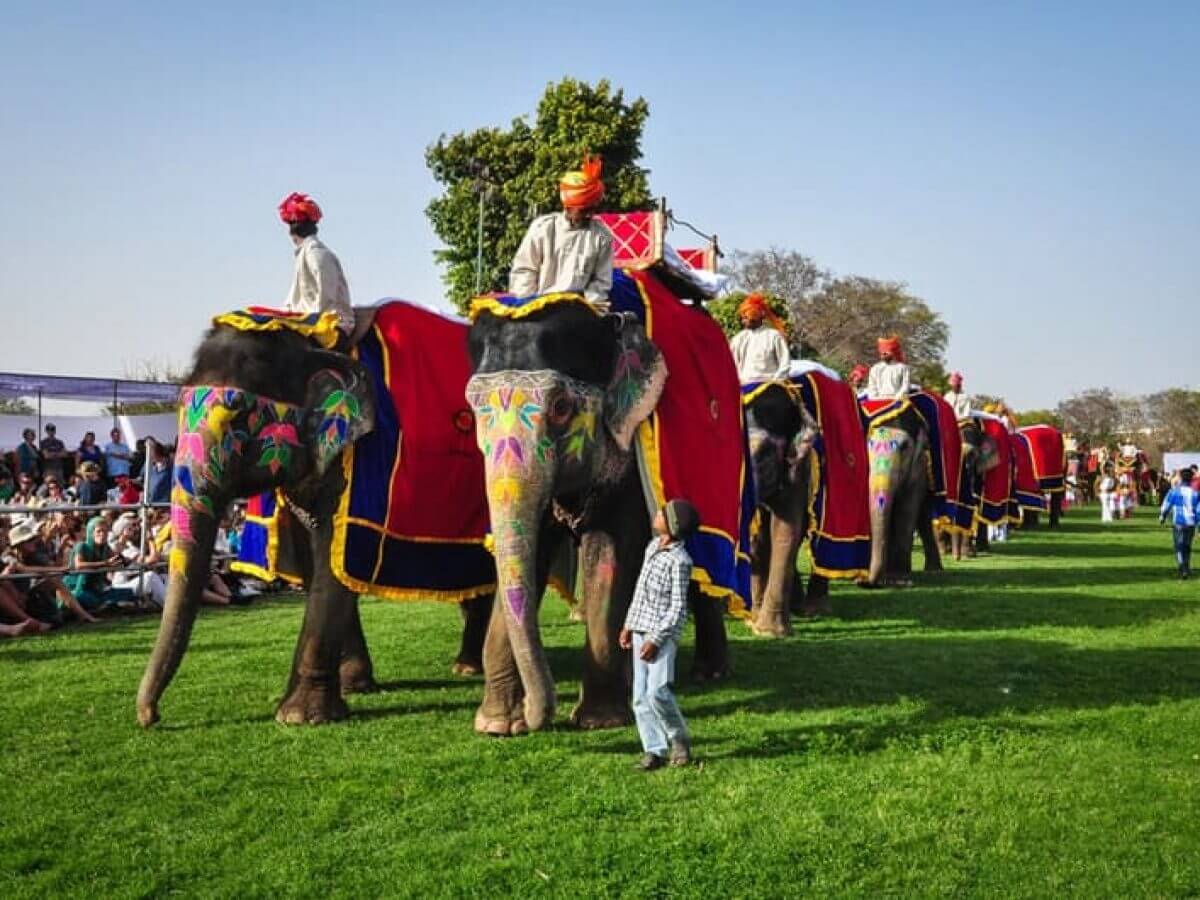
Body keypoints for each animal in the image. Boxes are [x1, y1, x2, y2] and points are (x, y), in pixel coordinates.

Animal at [138, 324, 494, 734]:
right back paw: (468, 665)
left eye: (239, 417)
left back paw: (468, 668)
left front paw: (300, 716)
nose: (151, 717)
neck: (314, 347)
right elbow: (315, 560)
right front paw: (356, 686)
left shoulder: (360, 463)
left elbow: (332, 559)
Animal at [465, 307, 729, 734]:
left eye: (560, 408)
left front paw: (598, 722)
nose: (537, 716)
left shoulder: (631, 454)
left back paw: (711, 672)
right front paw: (497, 726)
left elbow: (611, 554)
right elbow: (529, 554)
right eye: (473, 410)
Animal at [739, 384, 825, 638]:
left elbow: (785, 528)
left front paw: (770, 632)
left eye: (765, 458)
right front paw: (754, 623)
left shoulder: (799, 466)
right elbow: (757, 535)